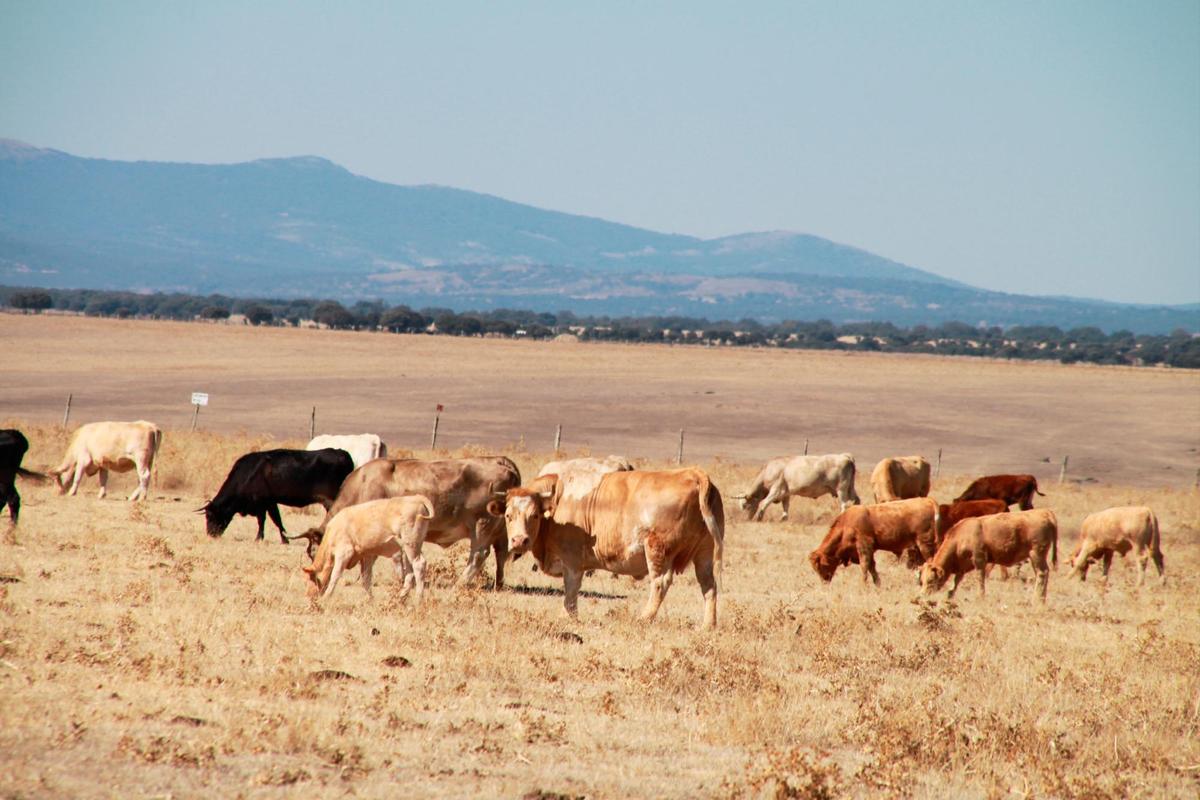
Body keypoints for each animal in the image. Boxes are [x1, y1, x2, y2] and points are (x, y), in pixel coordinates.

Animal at [199, 448, 350, 542]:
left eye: (210, 516)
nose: (210, 534)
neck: (248, 474)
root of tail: (341, 453)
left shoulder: (263, 503)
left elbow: (267, 520)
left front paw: (263, 538)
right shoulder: (269, 503)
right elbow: (272, 520)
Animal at [302, 494, 434, 599]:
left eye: (310, 579)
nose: (308, 595)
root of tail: (417, 498)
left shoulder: (344, 553)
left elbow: (335, 575)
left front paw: (326, 597)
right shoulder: (367, 555)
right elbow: (366, 578)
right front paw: (370, 599)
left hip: (410, 544)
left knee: (419, 564)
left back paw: (418, 598)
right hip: (409, 548)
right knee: (409, 572)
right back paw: (401, 597)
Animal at [494, 465, 720, 628]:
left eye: (534, 515)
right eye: (508, 515)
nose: (519, 540)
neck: (557, 501)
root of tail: (692, 473)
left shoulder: (571, 560)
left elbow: (571, 587)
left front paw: (568, 616)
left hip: (657, 550)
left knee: (660, 583)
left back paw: (643, 618)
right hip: (705, 553)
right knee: (709, 585)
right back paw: (708, 625)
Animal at [811, 496, 940, 585]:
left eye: (821, 566)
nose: (824, 581)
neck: (846, 525)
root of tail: (926, 500)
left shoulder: (864, 546)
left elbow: (865, 566)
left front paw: (864, 586)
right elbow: (872, 568)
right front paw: (877, 584)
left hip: (925, 545)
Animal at [916, 510, 1060, 604]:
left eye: (931, 580)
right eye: (921, 581)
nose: (922, 595)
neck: (961, 536)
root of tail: (1045, 513)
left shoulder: (979, 558)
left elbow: (980, 577)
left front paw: (980, 596)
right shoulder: (962, 565)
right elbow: (957, 580)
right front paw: (950, 593)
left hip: (1037, 554)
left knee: (1042, 573)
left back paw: (1037, 599)